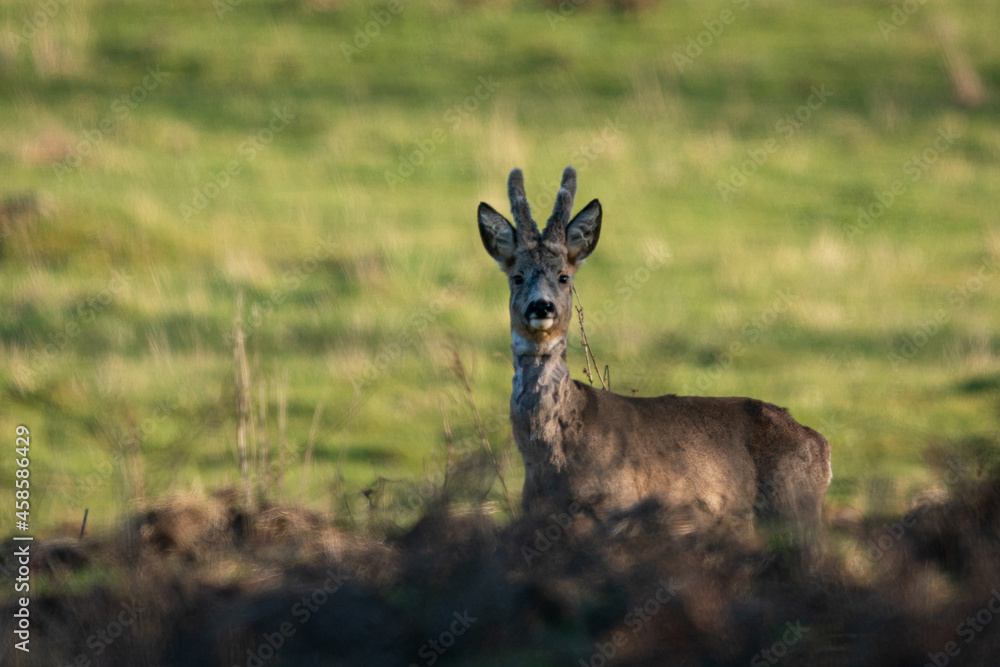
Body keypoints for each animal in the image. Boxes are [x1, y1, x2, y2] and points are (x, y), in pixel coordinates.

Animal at [480, 168, 832, 536]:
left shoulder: (620, 513)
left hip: (794, 506)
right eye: (517, 277)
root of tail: (820, 443)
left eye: (564, 276)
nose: (541, 306)